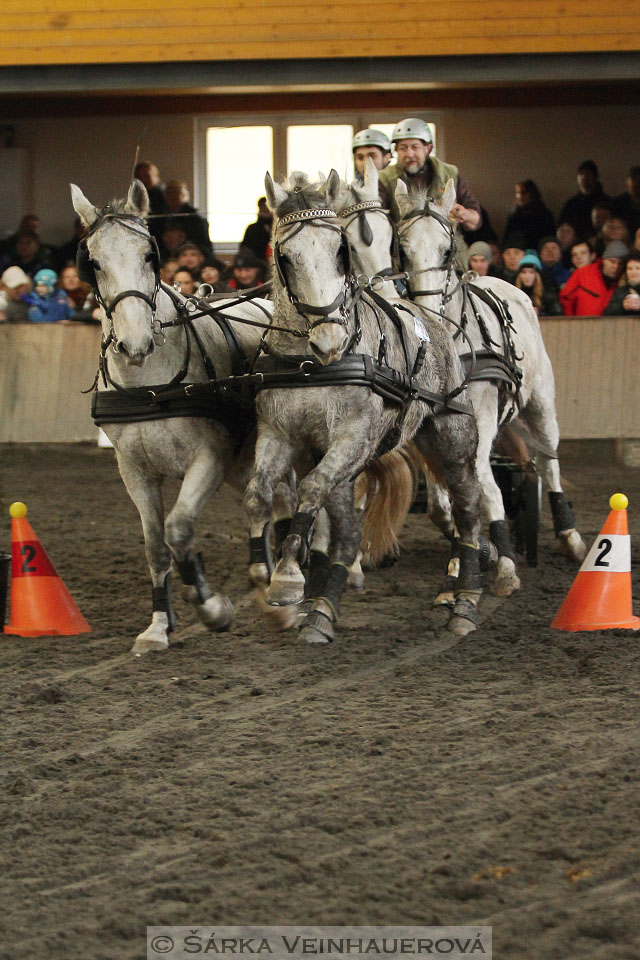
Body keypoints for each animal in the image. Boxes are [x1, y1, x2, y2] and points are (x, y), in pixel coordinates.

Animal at [69, 182, 288, 652]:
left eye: (149, 255)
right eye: (92, 262)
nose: (135, 343)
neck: (150, 385)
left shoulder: (209, 458)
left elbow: (180, 528)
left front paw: (212, 608)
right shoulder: (133, 469)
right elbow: (155, 544)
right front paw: (158, 626)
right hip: (244, 461)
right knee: (266, 507)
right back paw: (268, 575)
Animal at [396, 177, 584, 596]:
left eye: (447, 248)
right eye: (402, 248)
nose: (426, 314)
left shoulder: (480, 419)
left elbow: (483, 482)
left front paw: (503, 561)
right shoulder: (428, 429)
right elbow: (443, 501)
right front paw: (464, 554)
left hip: (541, 403)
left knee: (548, 461)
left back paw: (570, 538)